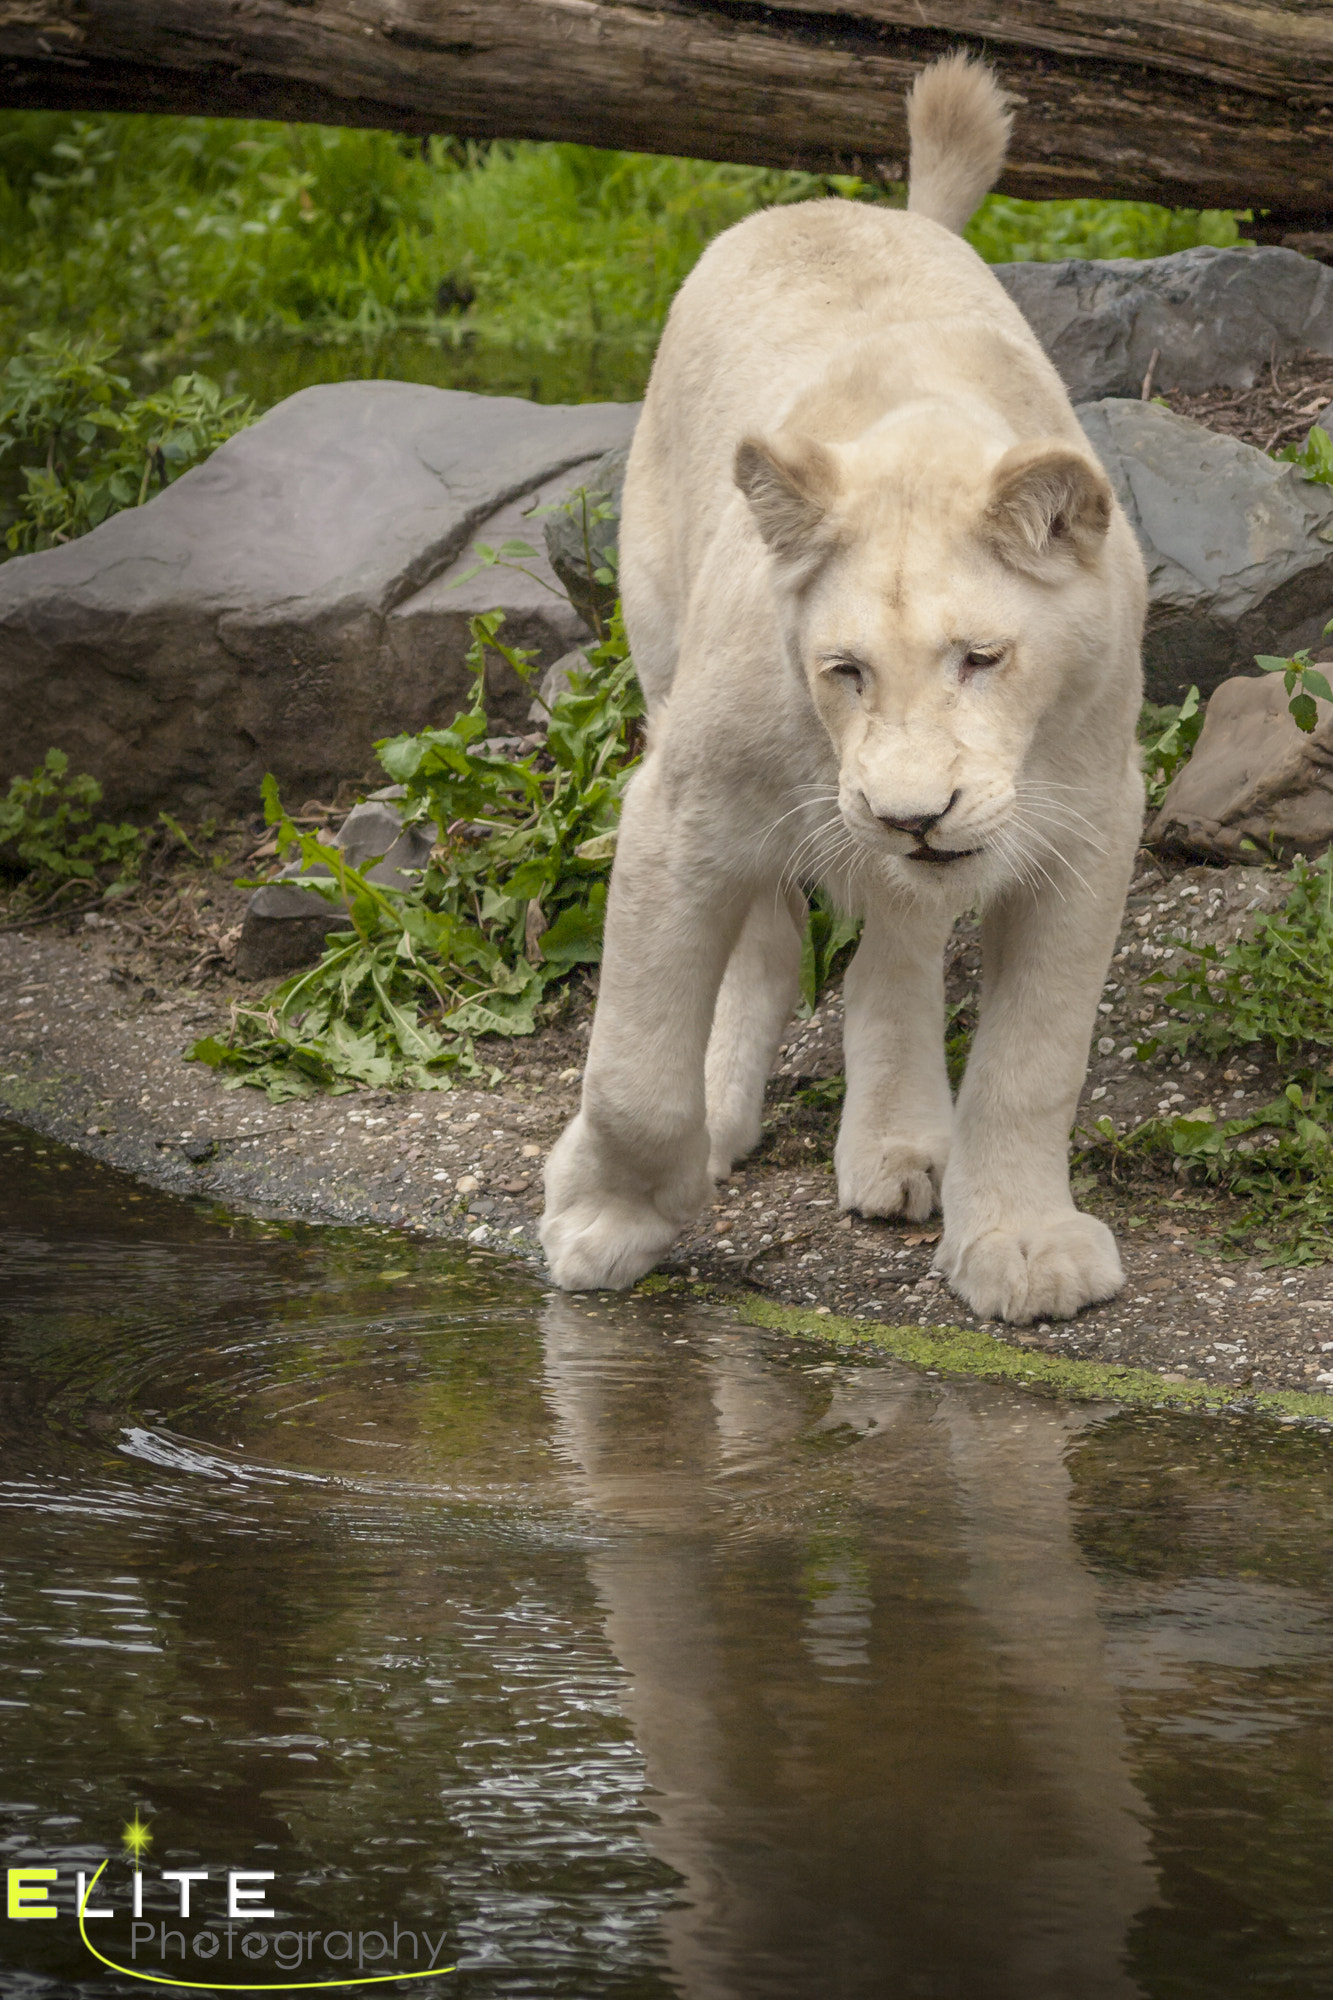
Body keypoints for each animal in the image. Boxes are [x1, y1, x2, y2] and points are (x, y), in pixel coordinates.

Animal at [539, 53, 1147, 1324]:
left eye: (982, 658)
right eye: (843, 670)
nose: (913, 813)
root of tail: (835, 205)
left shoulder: (1088, 818)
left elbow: (1034, 1059)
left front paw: (1022, 1245)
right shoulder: (678, 804)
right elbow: (631, 1063)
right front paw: (607, 1215)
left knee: (897, 946)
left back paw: (899, 1143)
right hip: (659, 640)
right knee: (769, 942)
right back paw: (727, 1111)